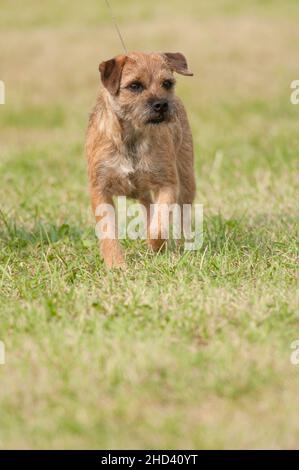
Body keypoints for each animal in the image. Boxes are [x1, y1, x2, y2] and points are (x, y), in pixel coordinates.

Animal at [85, 51, 196, 268]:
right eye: (135, 86)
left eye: (167, 83)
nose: (161, 104)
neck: (132, 137)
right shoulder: (100, 190)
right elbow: (108, 231)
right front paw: (116, 265)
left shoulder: (168, 184)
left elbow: (159, 225)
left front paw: (156, 245)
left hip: (187, 180)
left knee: (181, 215)